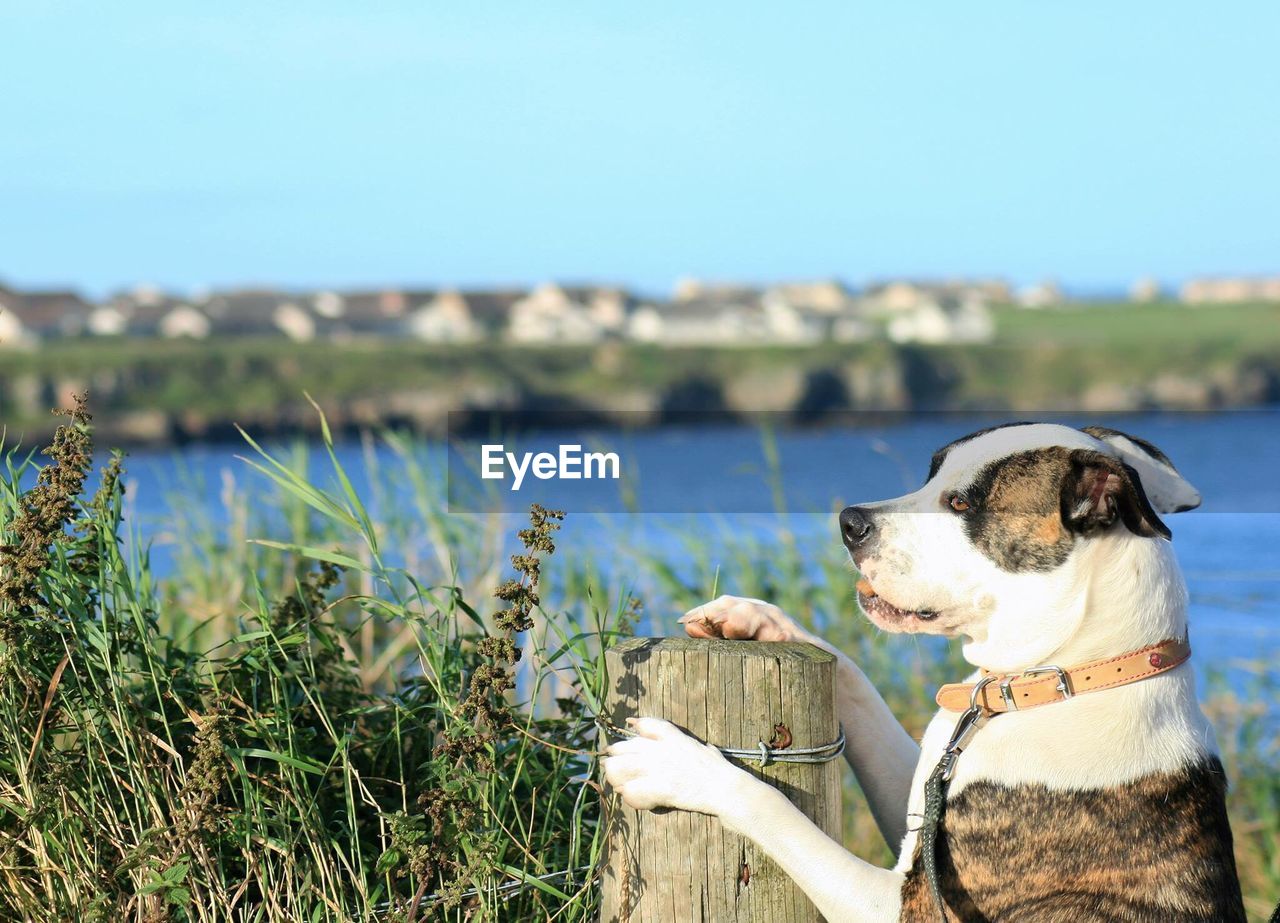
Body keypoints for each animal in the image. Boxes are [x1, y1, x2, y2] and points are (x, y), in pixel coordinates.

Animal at [601, 425, 1249, 921]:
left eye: (960, 504)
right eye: (930, 474)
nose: (849, 521)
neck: (1058, 677)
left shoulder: (902, 905)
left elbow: (774, 811)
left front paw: (677, 767)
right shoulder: (916, 815)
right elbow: (858, 686)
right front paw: (758, 618)